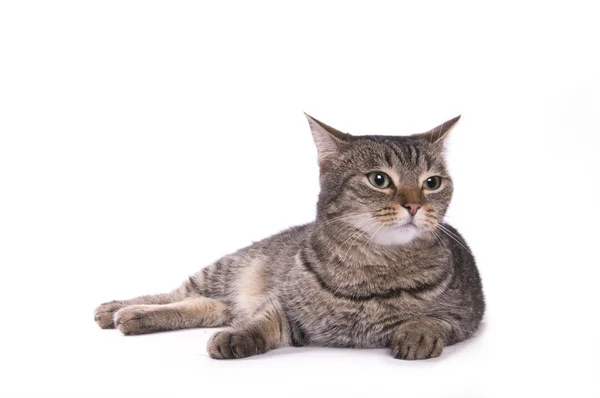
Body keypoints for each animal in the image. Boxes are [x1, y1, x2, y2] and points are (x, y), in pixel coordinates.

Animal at [95, 114, 488, 360]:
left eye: (431, 183)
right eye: (379, 179)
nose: (414, 205)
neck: (375, 265)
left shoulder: (466, 315)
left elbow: (434, 320)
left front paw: (417, 333)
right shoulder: (284, 305)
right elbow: (260, 323)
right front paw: (237, 336)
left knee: (209, 307)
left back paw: (131, 317)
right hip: (227, 268)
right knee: (178, 294)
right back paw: (118, 309)